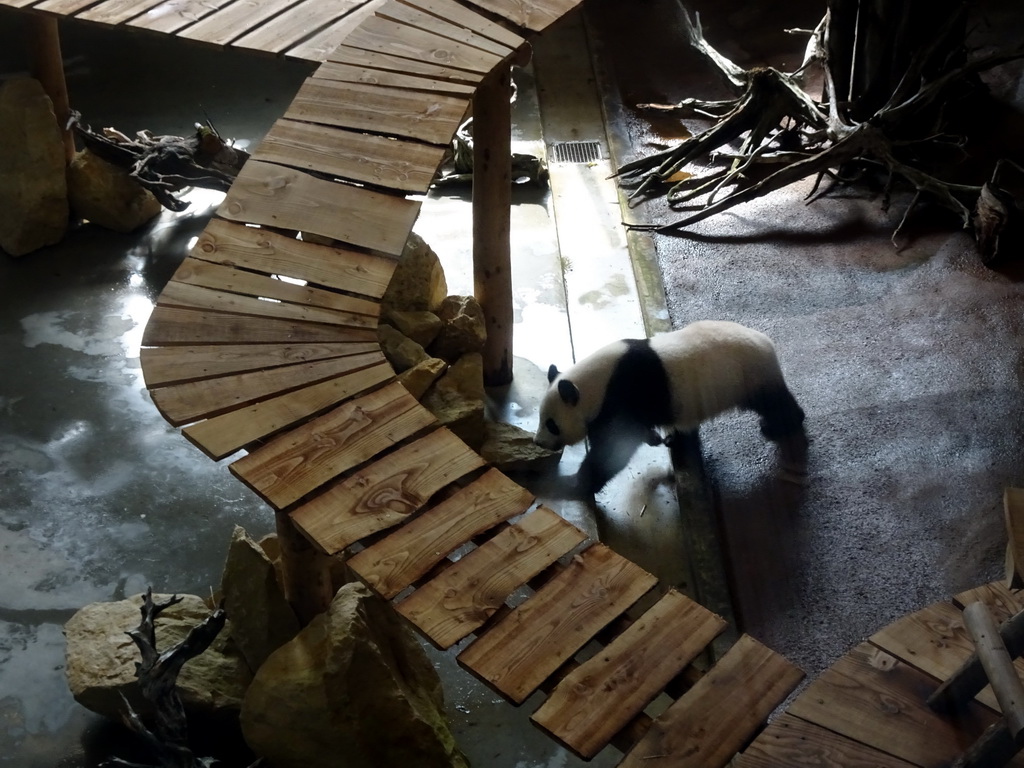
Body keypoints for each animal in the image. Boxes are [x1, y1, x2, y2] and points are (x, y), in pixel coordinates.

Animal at [532, 319, 802, 495]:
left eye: (552, 424)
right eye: (541, 418)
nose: (539, 442)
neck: (595, 384)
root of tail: (766, 343)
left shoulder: (623, 394)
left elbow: (613, 448)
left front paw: (575, 485)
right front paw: (654, 438)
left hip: (747, 375)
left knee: (773, 404)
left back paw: (777, 427)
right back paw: (676, 439)